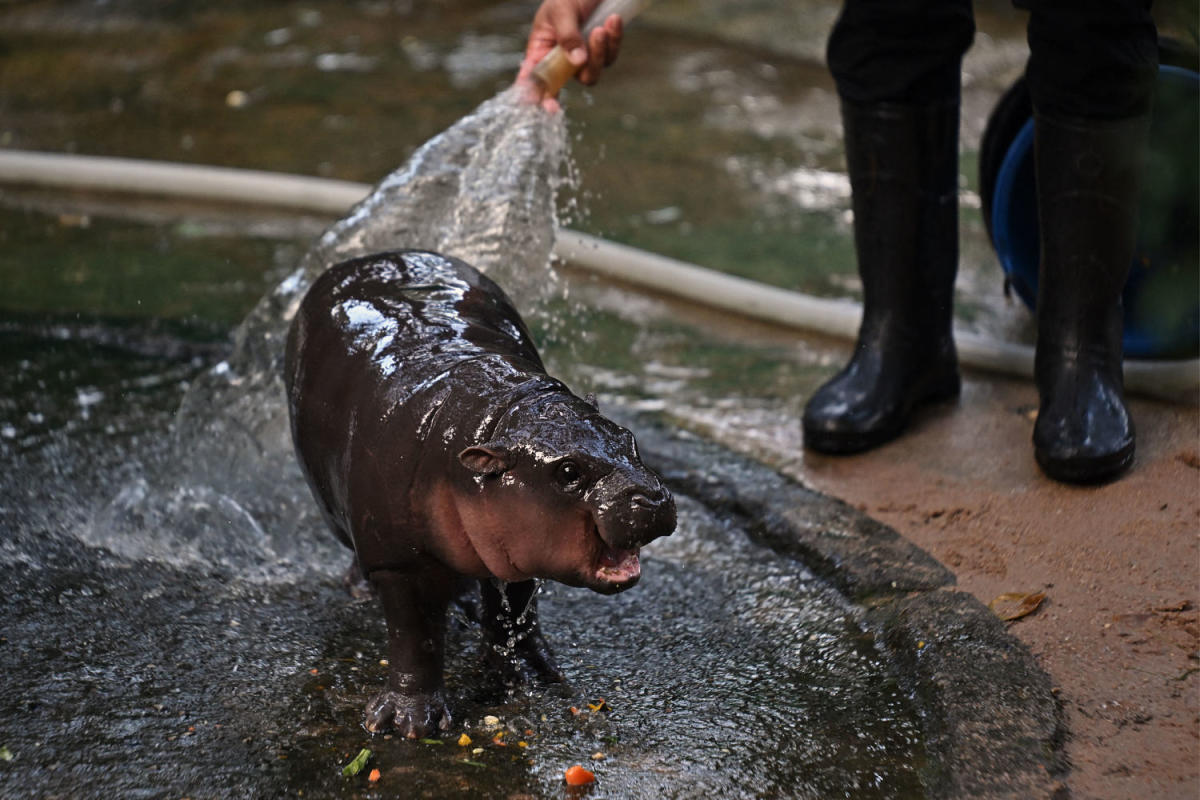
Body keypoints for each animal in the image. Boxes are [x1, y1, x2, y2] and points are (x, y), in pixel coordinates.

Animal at [282, 250, 676, 738]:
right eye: (568, 471)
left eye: (629, 439)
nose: (652, 497)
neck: (494, 416)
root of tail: (373, 256)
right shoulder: (399, 560)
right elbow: (415, 636)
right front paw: (409, 723)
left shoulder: (519, 546)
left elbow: (516, 611)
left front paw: (533, 675)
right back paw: (361, 590)